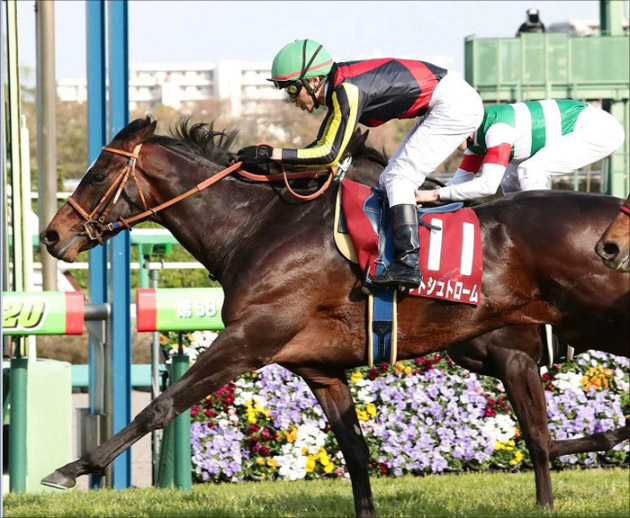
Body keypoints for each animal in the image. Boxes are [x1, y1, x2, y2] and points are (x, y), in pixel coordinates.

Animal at [40, 117, 628, 518]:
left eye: (97, 175)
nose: (50, 235)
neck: (257, 226)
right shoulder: (319, 367)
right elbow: (357, 451)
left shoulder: (251, 338)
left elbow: (160, 407)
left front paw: (72, 469)